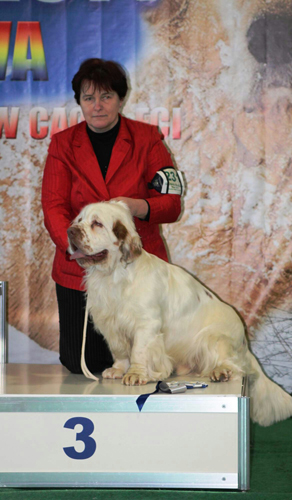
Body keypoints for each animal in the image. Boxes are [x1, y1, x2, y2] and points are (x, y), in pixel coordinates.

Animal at [67, 201, 292, 428]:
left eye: (97, 223)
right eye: (79, 220)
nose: (70, 231)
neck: (114, 275)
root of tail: (245, 342)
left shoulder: (146, 324)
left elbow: (138, 351)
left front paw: (136, 374)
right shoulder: (111, 325)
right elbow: (120, 351)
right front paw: (118, 369)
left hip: (213, 338)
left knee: (234, 366)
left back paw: (220, 372)